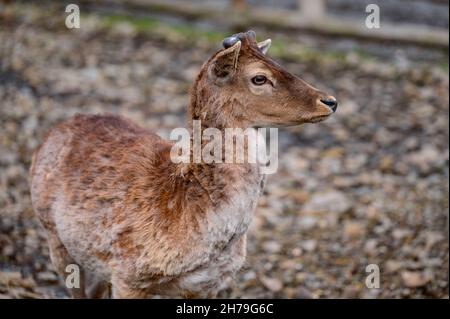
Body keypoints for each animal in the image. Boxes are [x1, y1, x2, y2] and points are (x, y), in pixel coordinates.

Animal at [29, 31, 338, 298]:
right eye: (259, 78)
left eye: (278, 63)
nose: (330, 101)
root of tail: (55, 130)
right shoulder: (128, 274)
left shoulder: (210, 285)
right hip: (55, 238)